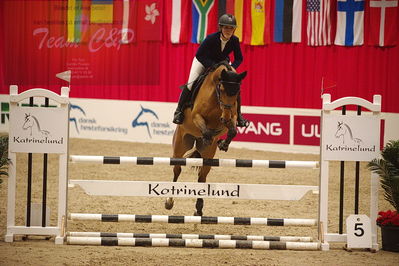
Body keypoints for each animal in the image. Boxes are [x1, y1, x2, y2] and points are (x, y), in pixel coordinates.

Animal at [165, 61, 247, 215]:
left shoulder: (231, 116)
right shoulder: (196, 116)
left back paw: (199, 209)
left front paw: (223, 143)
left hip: (208, 156)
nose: (225, 118)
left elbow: (232, 130)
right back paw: (169, 201)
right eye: (221, 89)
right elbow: (206, 129)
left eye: (237, 93)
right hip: (180, 145)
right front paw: (209, 137)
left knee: (202, 176)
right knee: (177, 169)